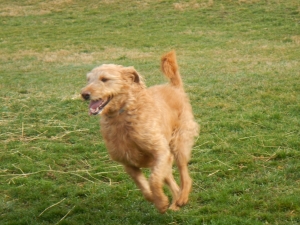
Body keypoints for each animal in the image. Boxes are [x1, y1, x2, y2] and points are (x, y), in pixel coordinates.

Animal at [81, 50, 200, 213]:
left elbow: (153, 180)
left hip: (178, 144)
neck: (124, 114)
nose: (84, 94)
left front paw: (161, 201)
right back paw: (175, 203)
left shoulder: (160, 152)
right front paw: (157, 200)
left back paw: (182, 198)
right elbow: (143, 186)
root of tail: (174, 87)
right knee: (172, 182)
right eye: (88, 80)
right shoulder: (129, 163)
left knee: (185, 175)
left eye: (104, 79)